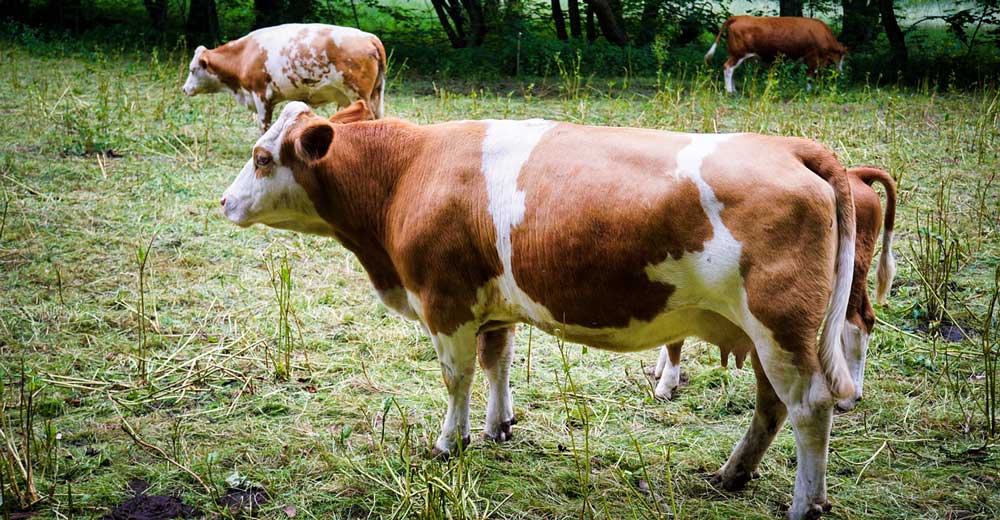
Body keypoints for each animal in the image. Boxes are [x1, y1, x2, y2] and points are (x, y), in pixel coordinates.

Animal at [182, 23, 386, 133]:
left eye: (192, 70)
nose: (184, 89)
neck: (245, 53)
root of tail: (369, 37)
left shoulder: (261, 95)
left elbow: (264, 125)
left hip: (357, 94)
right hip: (374, 95)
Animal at [220, 100, 858, 519]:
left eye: (260, 157)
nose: (224, 201)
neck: (408, 171)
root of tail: (793, 147)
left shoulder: (445, 301)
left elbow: (457, 377)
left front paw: (449, 442)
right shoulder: (492, 303)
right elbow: (497, 361)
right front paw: (498, 425)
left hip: (781, 328)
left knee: (809, 407)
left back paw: (804, 504)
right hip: (768, 336)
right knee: (772, 406)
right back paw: (733, 474)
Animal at [650, 166, 896, 413]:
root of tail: (857, 175)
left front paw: (666, 385)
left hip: (850, 270)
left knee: (855, 323)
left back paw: (849, 397)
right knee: (862, 319)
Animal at [705, 16, 848, 94]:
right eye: (841, 56)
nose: (841, 72)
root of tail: (738, 17)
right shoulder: (811, 57)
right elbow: (810, 75)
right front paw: (809, 91)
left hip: (735, 54)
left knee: (732, 70)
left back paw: (734, 90)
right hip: (738, 53)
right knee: (728, 68)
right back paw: (729, 91)